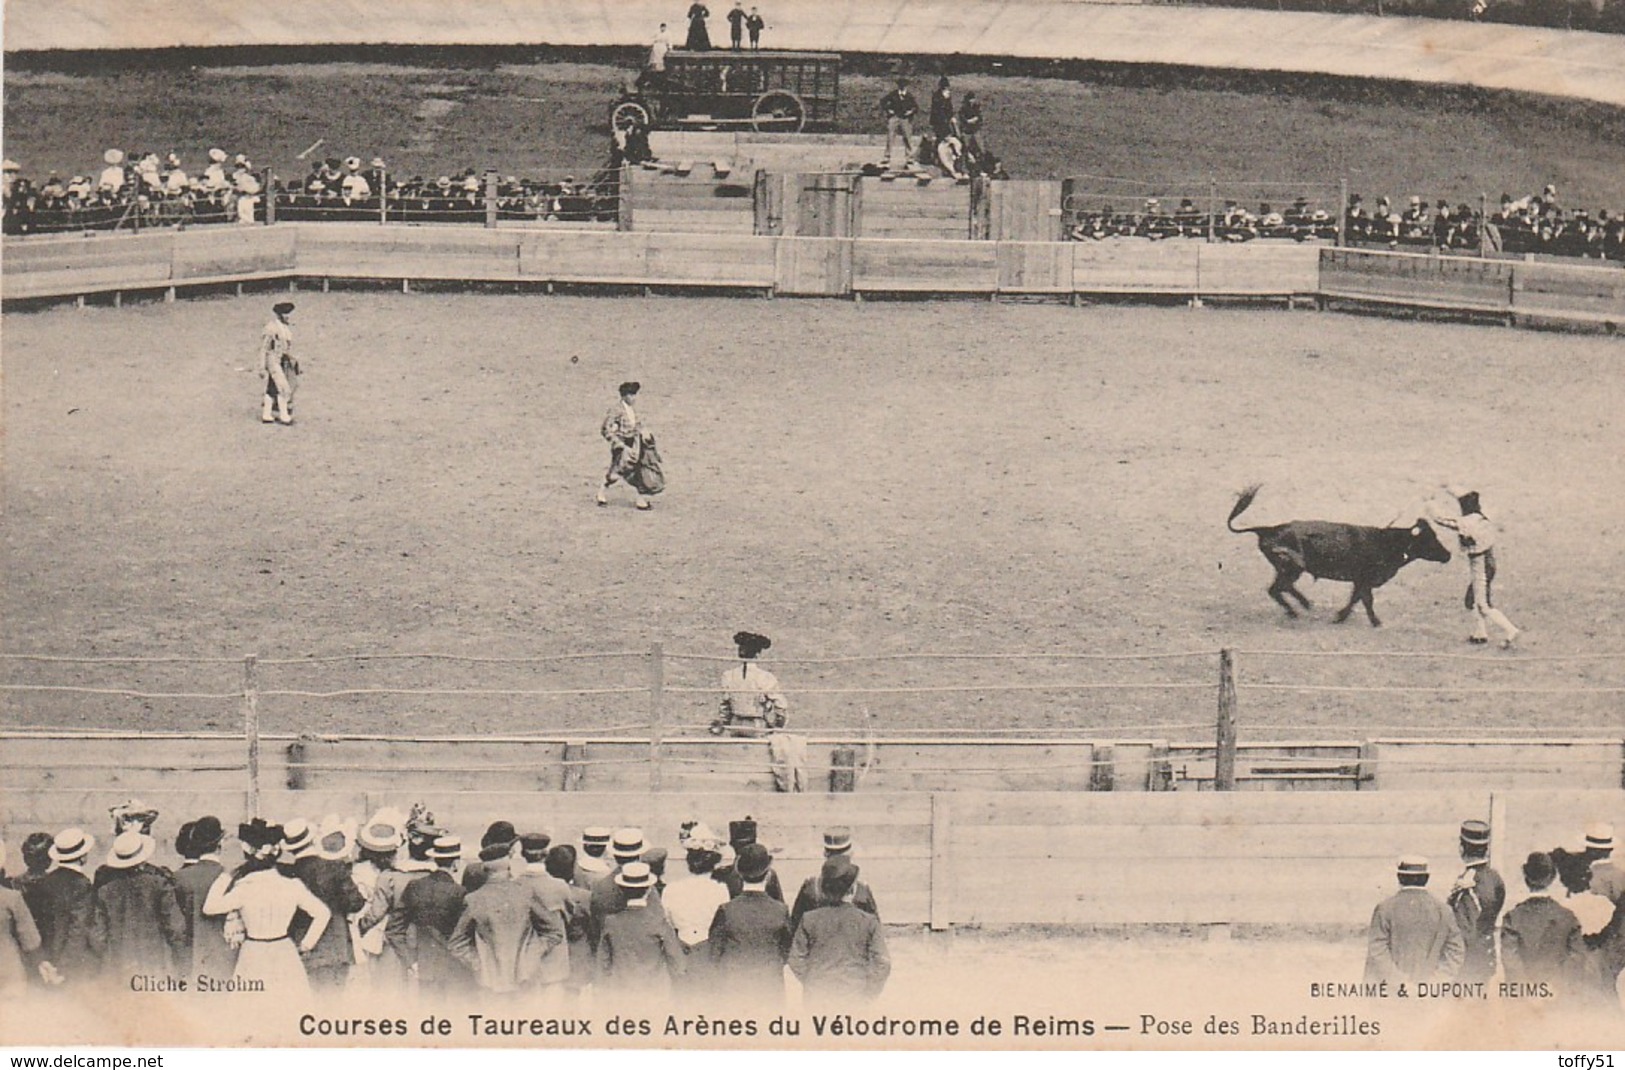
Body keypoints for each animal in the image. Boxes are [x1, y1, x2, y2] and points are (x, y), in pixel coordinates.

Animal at [1222, 484, 1456, 624]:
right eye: (1429, 539)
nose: (1448, 555)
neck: (1386, 542)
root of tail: (1268, 529)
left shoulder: (1360, 581)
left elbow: (1356, 598)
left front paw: (1342, 616)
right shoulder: (1364, 579)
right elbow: (1365, 599)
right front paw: (1374, 621)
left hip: (1288, 569)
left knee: (1279, 589)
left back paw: (1301, 607)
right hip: (1291, 568)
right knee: (1278, 588)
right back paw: (1299, 608)